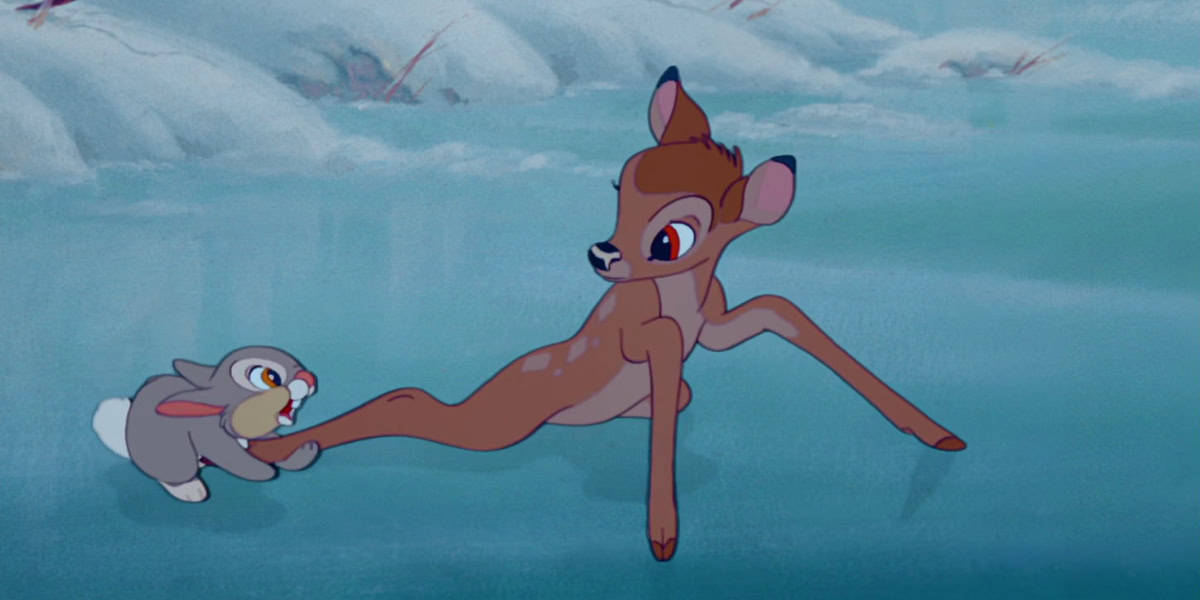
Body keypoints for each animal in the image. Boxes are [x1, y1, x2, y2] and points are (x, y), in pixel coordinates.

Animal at [247, 66, 967, 562]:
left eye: (671, 239)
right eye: (619, 187)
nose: (600, 252)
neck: (678, 295)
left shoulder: (717, 327)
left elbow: (777, 308)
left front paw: (935, 432)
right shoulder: (648, 338)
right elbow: (673, 349)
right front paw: (663, 534)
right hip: (499, 424)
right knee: (411, 402)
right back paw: (278, 448)